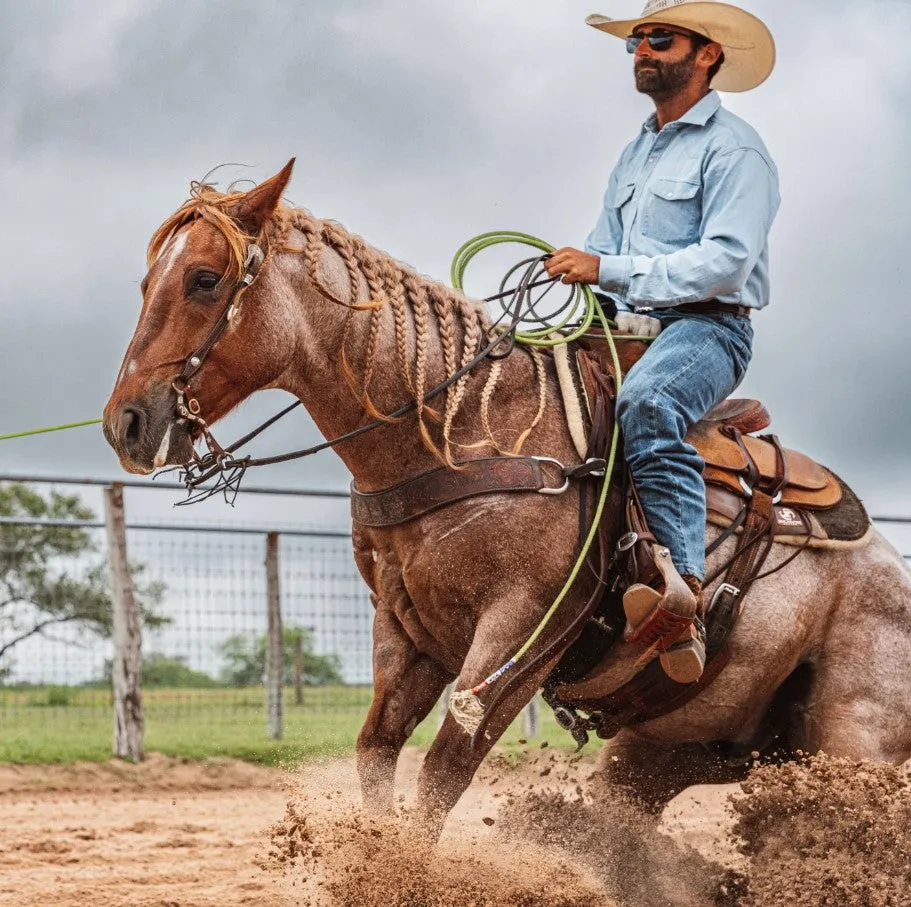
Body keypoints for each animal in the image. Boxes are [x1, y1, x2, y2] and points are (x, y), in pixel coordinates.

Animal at [103, 161, 911, 836]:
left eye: (204, 278)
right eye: (143, 285)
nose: (126, 423)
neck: (467, 430)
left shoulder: (523, 631)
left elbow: (443, 770)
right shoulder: (407, 632)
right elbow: (377, 751)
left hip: (849, 737)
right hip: (674, 747)